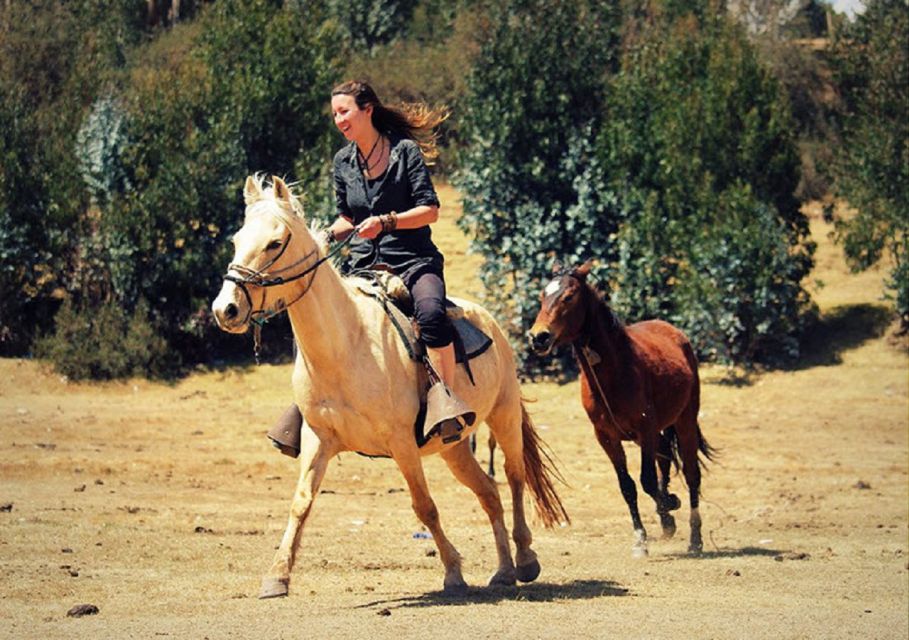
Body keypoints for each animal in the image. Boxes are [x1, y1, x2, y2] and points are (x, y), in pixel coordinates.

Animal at [214, 174, 568, 596]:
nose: (225, 309)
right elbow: (301, 503)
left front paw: (453, 572)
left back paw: (526, 560)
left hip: (505, 416)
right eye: (237, 239)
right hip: (453, 448)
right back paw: (502, 571)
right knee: (488, 492)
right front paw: (277, 576)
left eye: (274, 242)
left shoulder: (401, 444)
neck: (346, 345)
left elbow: (424, 506)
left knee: (514, 478)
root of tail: (491, 323)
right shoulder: (319, 439)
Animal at [528, 262, 712, 556]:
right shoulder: (607, 437)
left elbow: (647, 480)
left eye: (569, 297)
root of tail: (676, 334)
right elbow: (627, 486)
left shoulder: (645, 429)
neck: (615, 370)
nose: (539, 337)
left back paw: (695, 538)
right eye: (542, 296)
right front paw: (642, 537)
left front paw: (669, 505)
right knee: (665, 457)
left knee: (692, 474)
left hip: (685, 420)